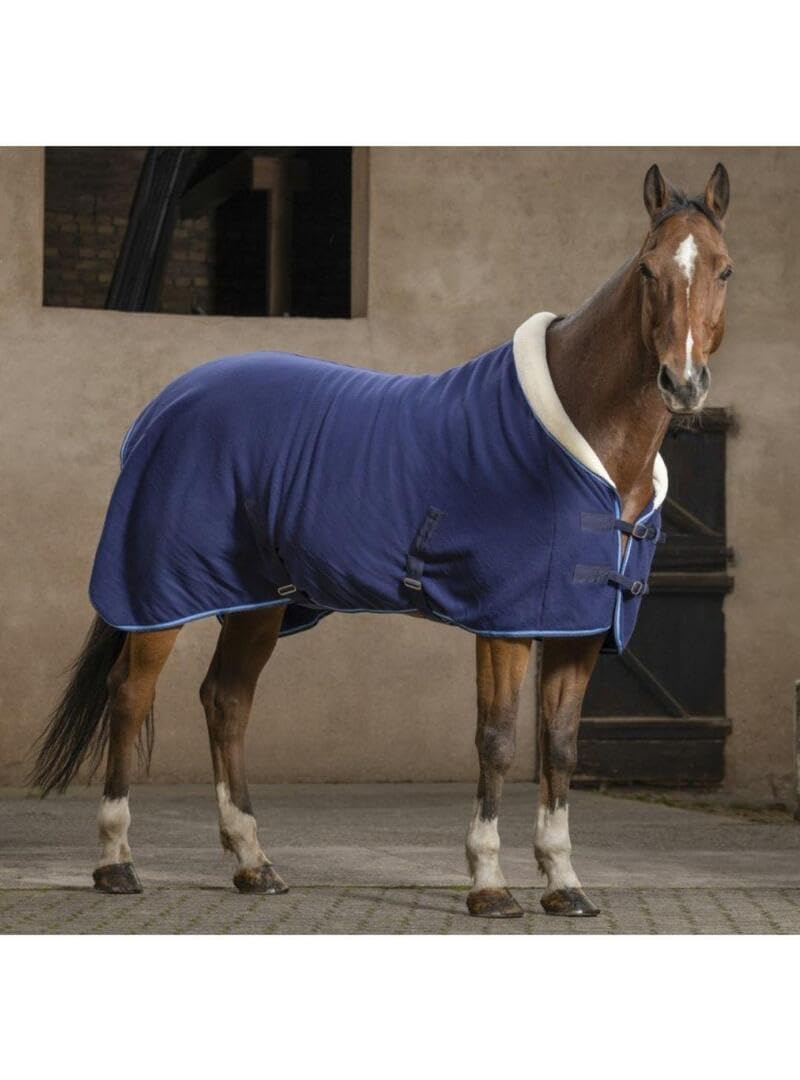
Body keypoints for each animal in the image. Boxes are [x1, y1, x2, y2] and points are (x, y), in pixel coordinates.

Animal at [31, 162, 733, 919]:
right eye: (647, 268)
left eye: (724, 269)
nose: (683, 382)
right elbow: (498, 739)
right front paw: (489, 884)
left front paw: (564, 883)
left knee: (226, 701)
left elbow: (562, 747)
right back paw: (116, 863)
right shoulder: (505, 623)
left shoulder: (576, 628)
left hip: (258, 599)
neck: (583, 441)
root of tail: (162, 407)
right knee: (131, 695)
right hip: (162, 589)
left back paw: (254, 865)